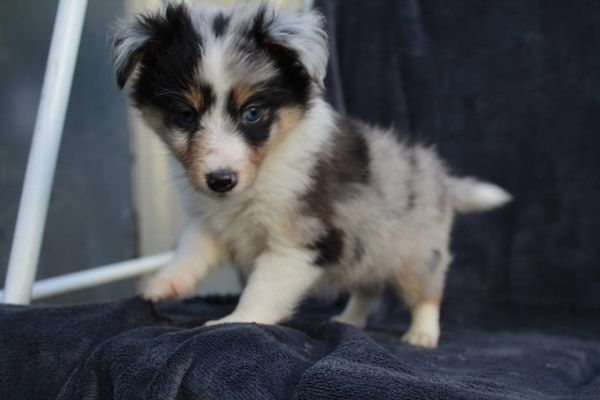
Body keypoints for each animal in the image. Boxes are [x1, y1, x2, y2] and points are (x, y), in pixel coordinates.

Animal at [110, 1, 508, 346]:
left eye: (253, 112)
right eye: (185, 115)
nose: (221, 181)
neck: (265, 167)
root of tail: (442, 181)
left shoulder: (301, 242)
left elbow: (263, 288)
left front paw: (233, 322)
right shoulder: (211, 220)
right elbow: (191, 250)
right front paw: (163, 285)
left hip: (418, 252)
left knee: (426, 293)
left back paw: (422, 334)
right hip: (369, 248)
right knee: (368, 289)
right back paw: (350, 320)